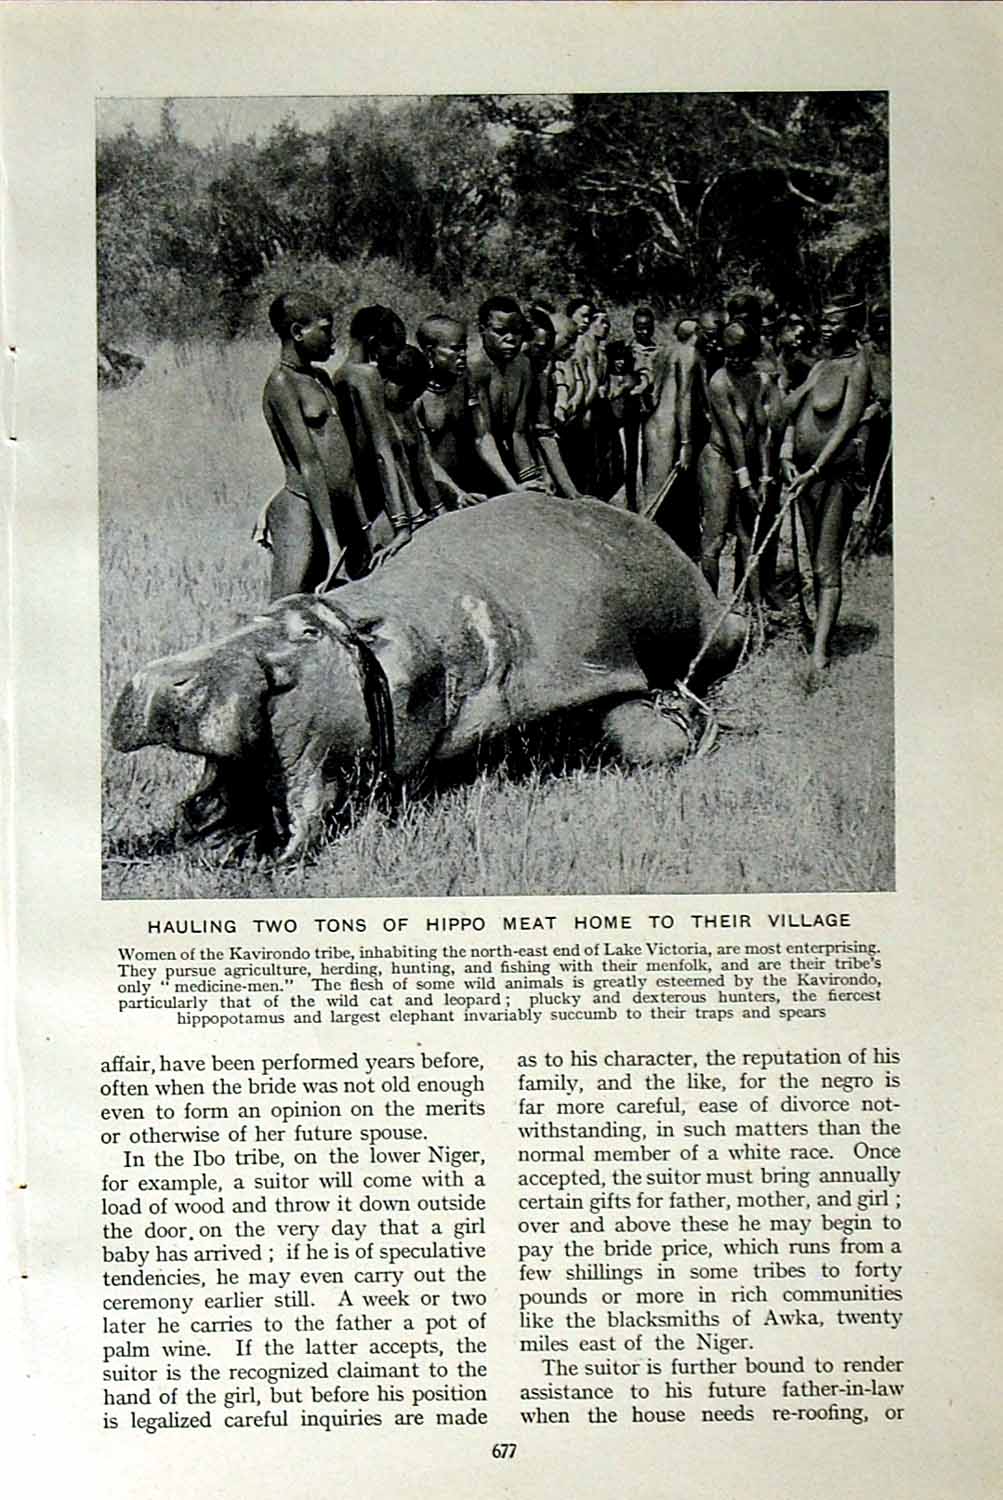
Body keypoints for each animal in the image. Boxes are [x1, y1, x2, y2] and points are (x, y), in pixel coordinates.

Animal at [111, 494, 745, 860]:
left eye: (308, 633)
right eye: (245, 618)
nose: (161, 679)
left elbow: (635, 729)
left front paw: (684, 727)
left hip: (713, 623)